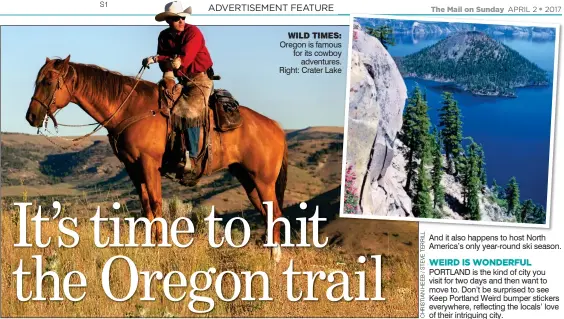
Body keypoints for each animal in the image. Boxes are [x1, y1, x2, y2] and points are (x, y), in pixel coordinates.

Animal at [24, 55, 288, 262]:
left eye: (48, 82)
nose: (31, 117)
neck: (131, 108)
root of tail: (275, 126)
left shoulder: (149, 164)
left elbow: (156, 203)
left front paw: (160, 246)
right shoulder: (133, 167)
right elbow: (145, 207)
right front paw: (150, 246)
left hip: (263, 181)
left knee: (275, 214)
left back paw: (275, 260)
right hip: (248, 179)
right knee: (267, 213)